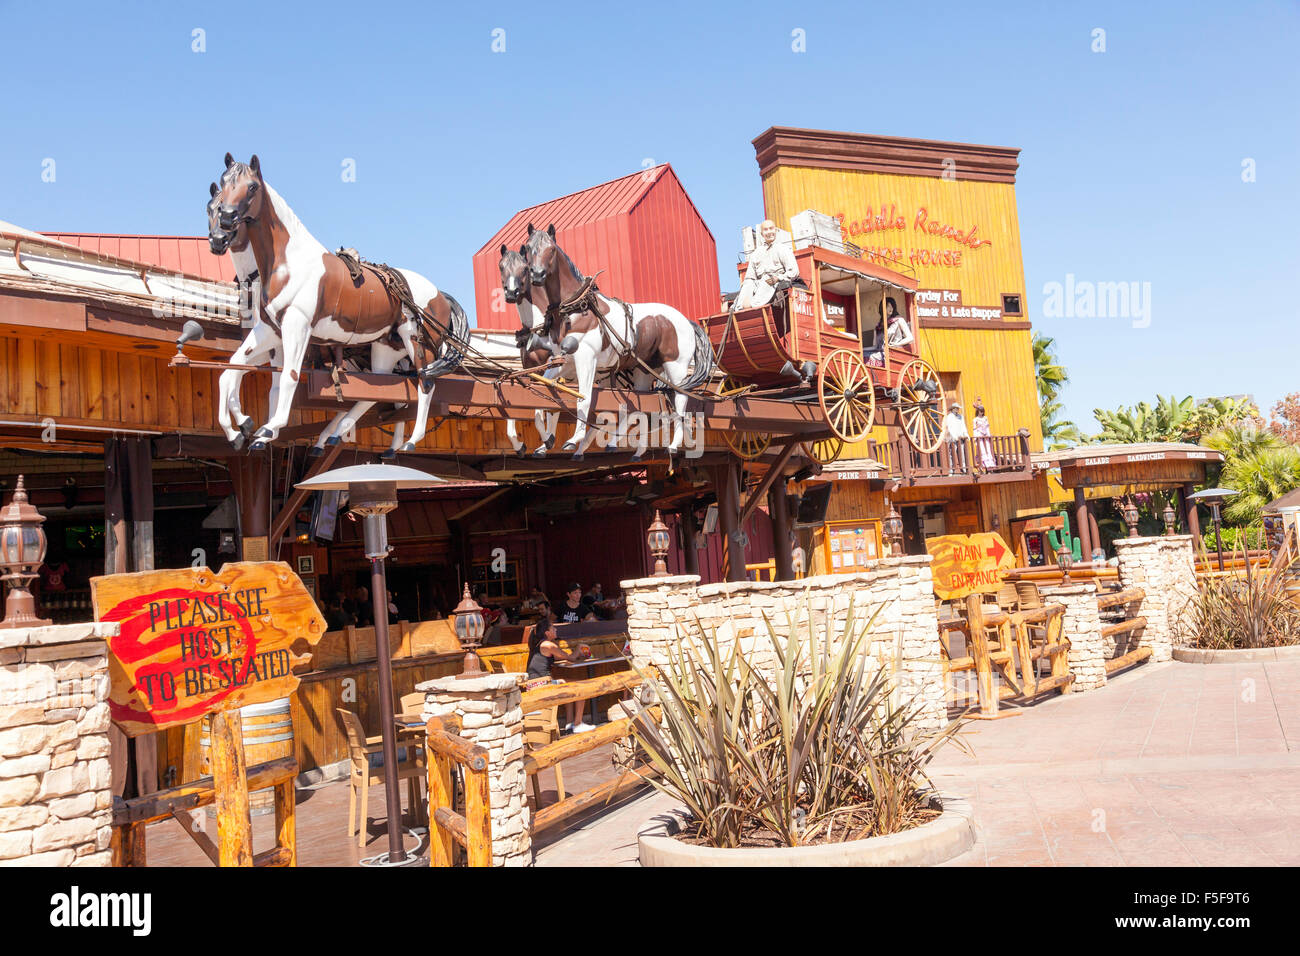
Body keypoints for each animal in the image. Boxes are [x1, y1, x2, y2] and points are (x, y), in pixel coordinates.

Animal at [205, 151, 465, 457]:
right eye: (223, 183)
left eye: (252, 186)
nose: (225, 221)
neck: (287, 263)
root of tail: (440, 295)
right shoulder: (271, 330)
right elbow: (234, 368)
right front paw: (238, 430)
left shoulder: (297, 327)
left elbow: (288, 377)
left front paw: (268, 429)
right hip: (386, 349)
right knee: (380, 392)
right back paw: (340, 433)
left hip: (417, 341)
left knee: (425, 383)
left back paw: (410, 441)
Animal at [522, 226, 717, 463]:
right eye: (528, 247)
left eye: (550, 249)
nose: (537, 274)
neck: (577, 308)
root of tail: (687, 321)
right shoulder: (564, 361)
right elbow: (544, 399)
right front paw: (546, 442)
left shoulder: (586, 358)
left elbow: (584, 397)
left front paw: (573, 439)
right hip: (644, 370)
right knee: (639, 406)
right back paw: (625, 447)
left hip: (676, 367)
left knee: (680, 401)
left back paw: (672, 445)